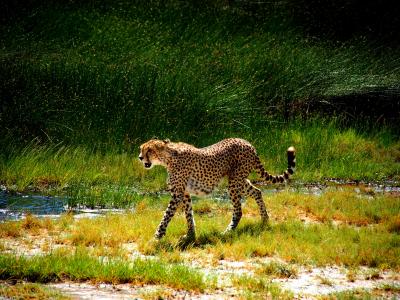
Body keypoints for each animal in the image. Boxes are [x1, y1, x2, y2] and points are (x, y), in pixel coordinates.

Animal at [139, 138, 296, 241]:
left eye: (149, 150)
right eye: (141, 149)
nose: (140, 157)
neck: (168, 157)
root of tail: (247, 143)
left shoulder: (177, 194)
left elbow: (166, 215)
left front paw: (157, 235)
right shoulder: (185, 193)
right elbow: (188, 214)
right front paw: (190, 235)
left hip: (234, 182)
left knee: (238, 210)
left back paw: (228, 231)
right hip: (239, 181)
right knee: (257, 191)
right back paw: (264, 219)